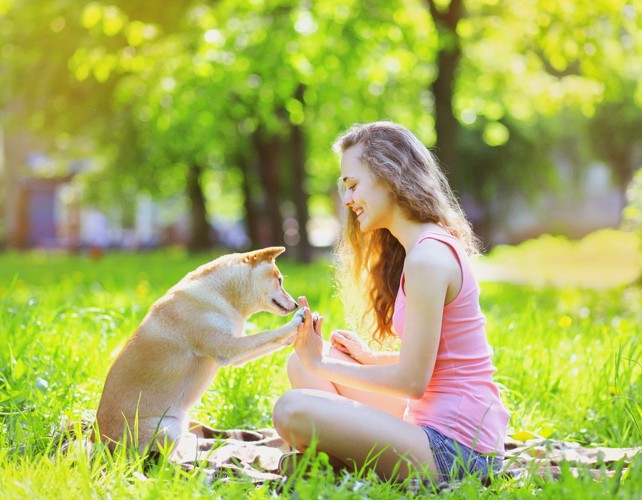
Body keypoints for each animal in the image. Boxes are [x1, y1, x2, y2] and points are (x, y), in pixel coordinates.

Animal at [91, 246, 304, 454]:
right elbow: (268, 334)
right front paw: (296, 322)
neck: (223, 296)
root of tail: (98, 443)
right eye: (280, 281)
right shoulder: (228, 348)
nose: (295, 304)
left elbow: (270, 341)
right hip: (167, 428)